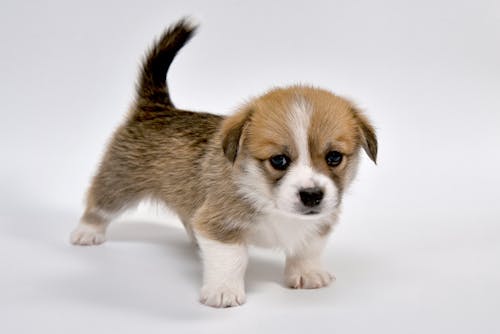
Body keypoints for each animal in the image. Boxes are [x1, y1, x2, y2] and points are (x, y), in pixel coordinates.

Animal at [69, 19, 376, 308]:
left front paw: (308, 274)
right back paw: (86, 232)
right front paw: (223, 292)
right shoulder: (221, 225)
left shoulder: (318, 225)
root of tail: (156, 108)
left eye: (334, 157)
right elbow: (232, 260)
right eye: (279, 160)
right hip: (119, 180)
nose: (312, 196)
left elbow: (308, 248)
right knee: (99, 201)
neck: (269, 200)